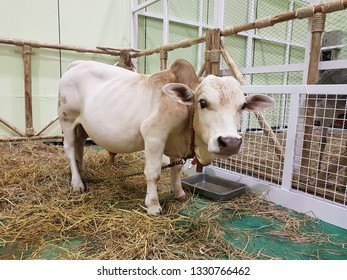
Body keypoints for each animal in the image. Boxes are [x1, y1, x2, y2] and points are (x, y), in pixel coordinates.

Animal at [58, 59, 276, 215]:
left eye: (242, 106)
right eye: (202, 102)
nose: (230, 142)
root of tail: (76, 64)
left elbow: (176, 170)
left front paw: (179, 194)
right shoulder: (154, 136)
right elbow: (153, 173)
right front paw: (153, 205)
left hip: (81, 126)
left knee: (79, 146)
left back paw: (82, 172)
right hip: (67, 120)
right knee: (69, 149)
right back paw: (77, 184)